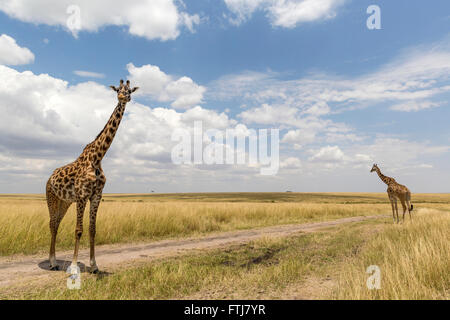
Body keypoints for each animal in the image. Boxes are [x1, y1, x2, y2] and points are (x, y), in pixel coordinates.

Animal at [46, 80, 139, 272]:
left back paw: (54, 261)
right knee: (52, 223)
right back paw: (52, 262)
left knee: (56, 223)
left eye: (130, 90)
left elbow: (92, 229)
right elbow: (78, 230)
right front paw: (74, 266)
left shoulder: (96, 195)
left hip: (64, 201)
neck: (97, 158)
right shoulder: (82, 196)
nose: (124, 97)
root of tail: (49, 178)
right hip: (51, 197)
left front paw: (94, 265)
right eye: (118, 90)